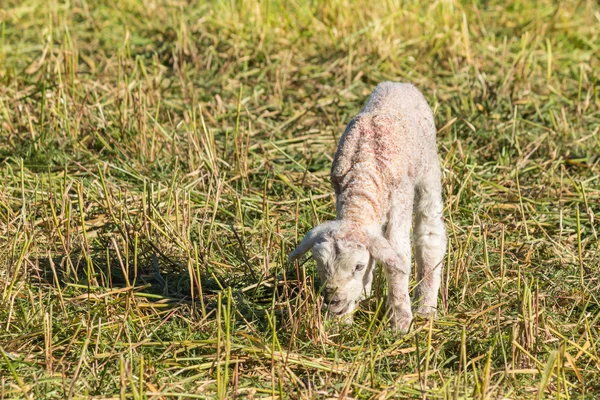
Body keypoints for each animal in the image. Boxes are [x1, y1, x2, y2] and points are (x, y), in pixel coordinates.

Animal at [288, 81, 448, 332]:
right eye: (320, 265)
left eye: (358, 266)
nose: (333, 300)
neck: (362, 174)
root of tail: (399, 83)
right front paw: (341, 321)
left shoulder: (400, 200)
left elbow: (398, 257)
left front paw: (400, 321)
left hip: (428, 167)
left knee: (430, 232)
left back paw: (425, 306)